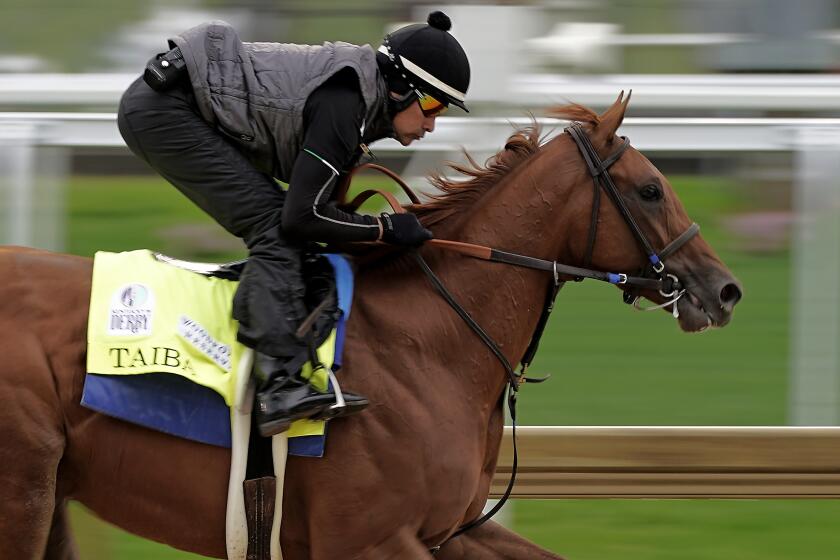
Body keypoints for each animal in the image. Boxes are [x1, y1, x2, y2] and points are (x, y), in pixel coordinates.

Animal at [0, 94, 740, 556]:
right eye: (651, 189)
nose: (724, 290)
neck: (434, 343)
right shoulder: (370, 540)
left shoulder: (450, 531)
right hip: (25, 491)